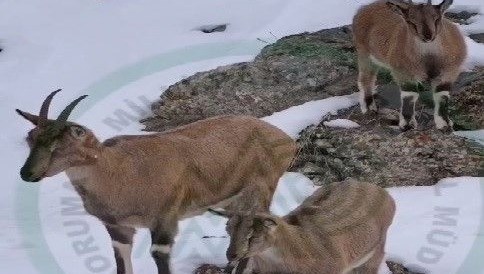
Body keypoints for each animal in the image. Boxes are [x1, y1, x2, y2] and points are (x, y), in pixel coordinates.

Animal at [17, 89, 296, 274]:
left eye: (60, 144)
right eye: (31, 137)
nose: (26, 173)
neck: (118, 171)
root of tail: (287, 142)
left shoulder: (164, 222)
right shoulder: (118, 229)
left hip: (260, 192)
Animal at [354, 0, 466, 131]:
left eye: (437, 18)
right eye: (411, 22)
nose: (428, 35)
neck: (429, 59)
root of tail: (364, 9)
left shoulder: (448, 72)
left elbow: (442, 95)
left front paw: (445, 124)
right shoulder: (403, 72)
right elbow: (409, 95)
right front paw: (407, 125)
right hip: (365, 54)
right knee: (366, 80)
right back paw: (369, 108)